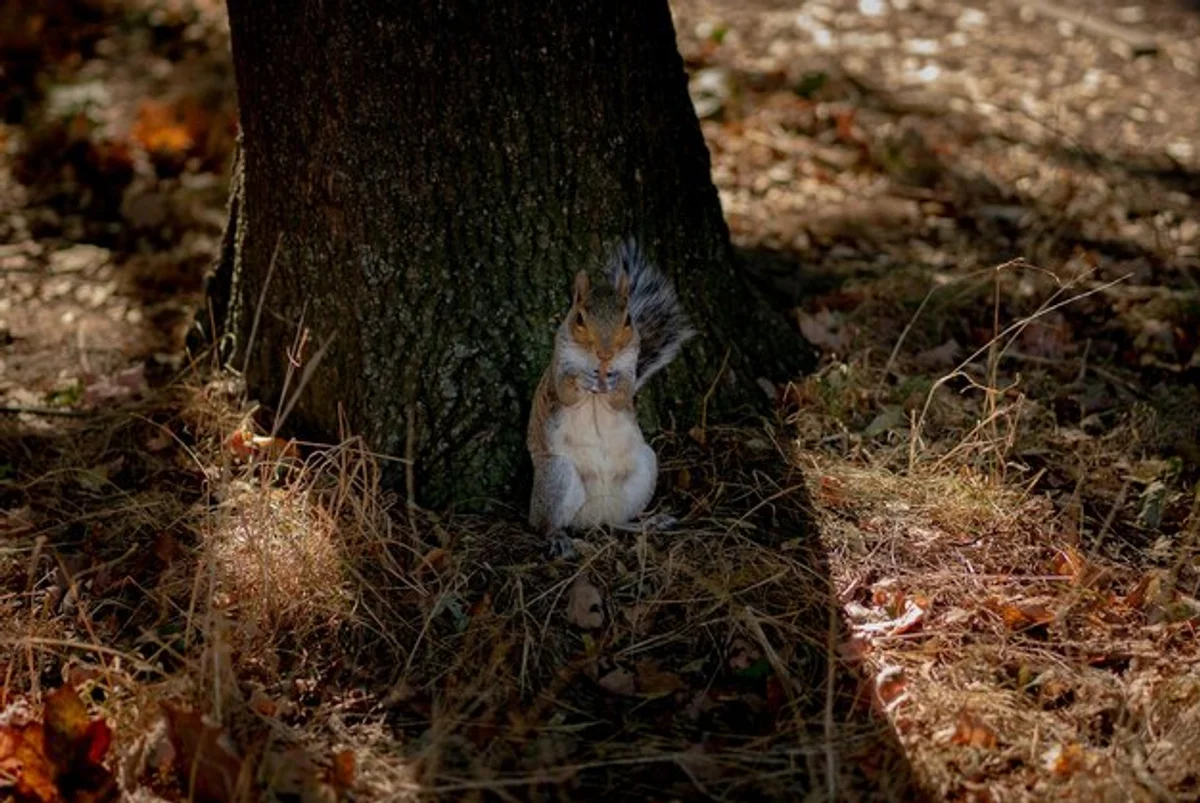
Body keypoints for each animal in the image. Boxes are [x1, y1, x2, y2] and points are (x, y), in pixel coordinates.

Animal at [527, 238, 695, 557]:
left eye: (628, 319)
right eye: (579, 318)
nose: (606, 354)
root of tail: (596, 515)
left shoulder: (629, 366)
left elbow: (622, 396)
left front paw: (614, 383)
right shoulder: (558, 367)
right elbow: (566, 392)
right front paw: (583, 379)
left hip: (644, 470)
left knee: (619, 520)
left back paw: (649, 523)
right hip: (557, 475)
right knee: (544, 524)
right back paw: (557, 537)